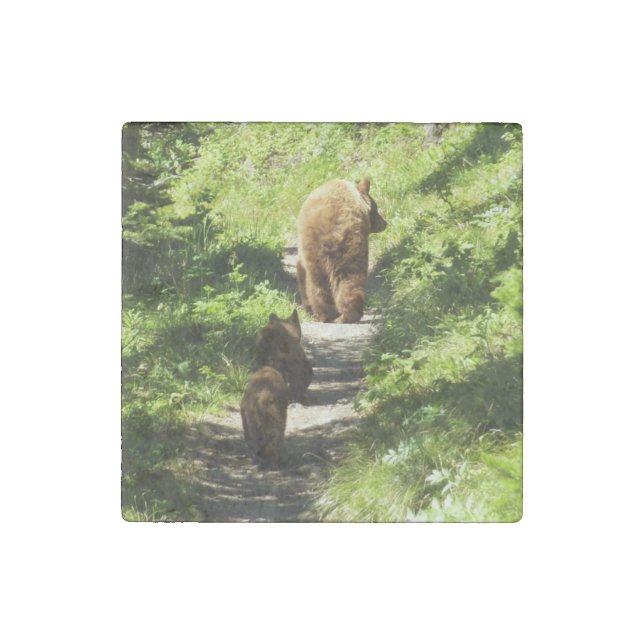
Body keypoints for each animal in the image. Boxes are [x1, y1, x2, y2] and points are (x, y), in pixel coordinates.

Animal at [296, 176, 387, 323]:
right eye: (376, 208)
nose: (384, 223)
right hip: (347, 247)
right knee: (348, 278)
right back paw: (345, 314)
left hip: (325, 253)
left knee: (325, 283)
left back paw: (331, 314)